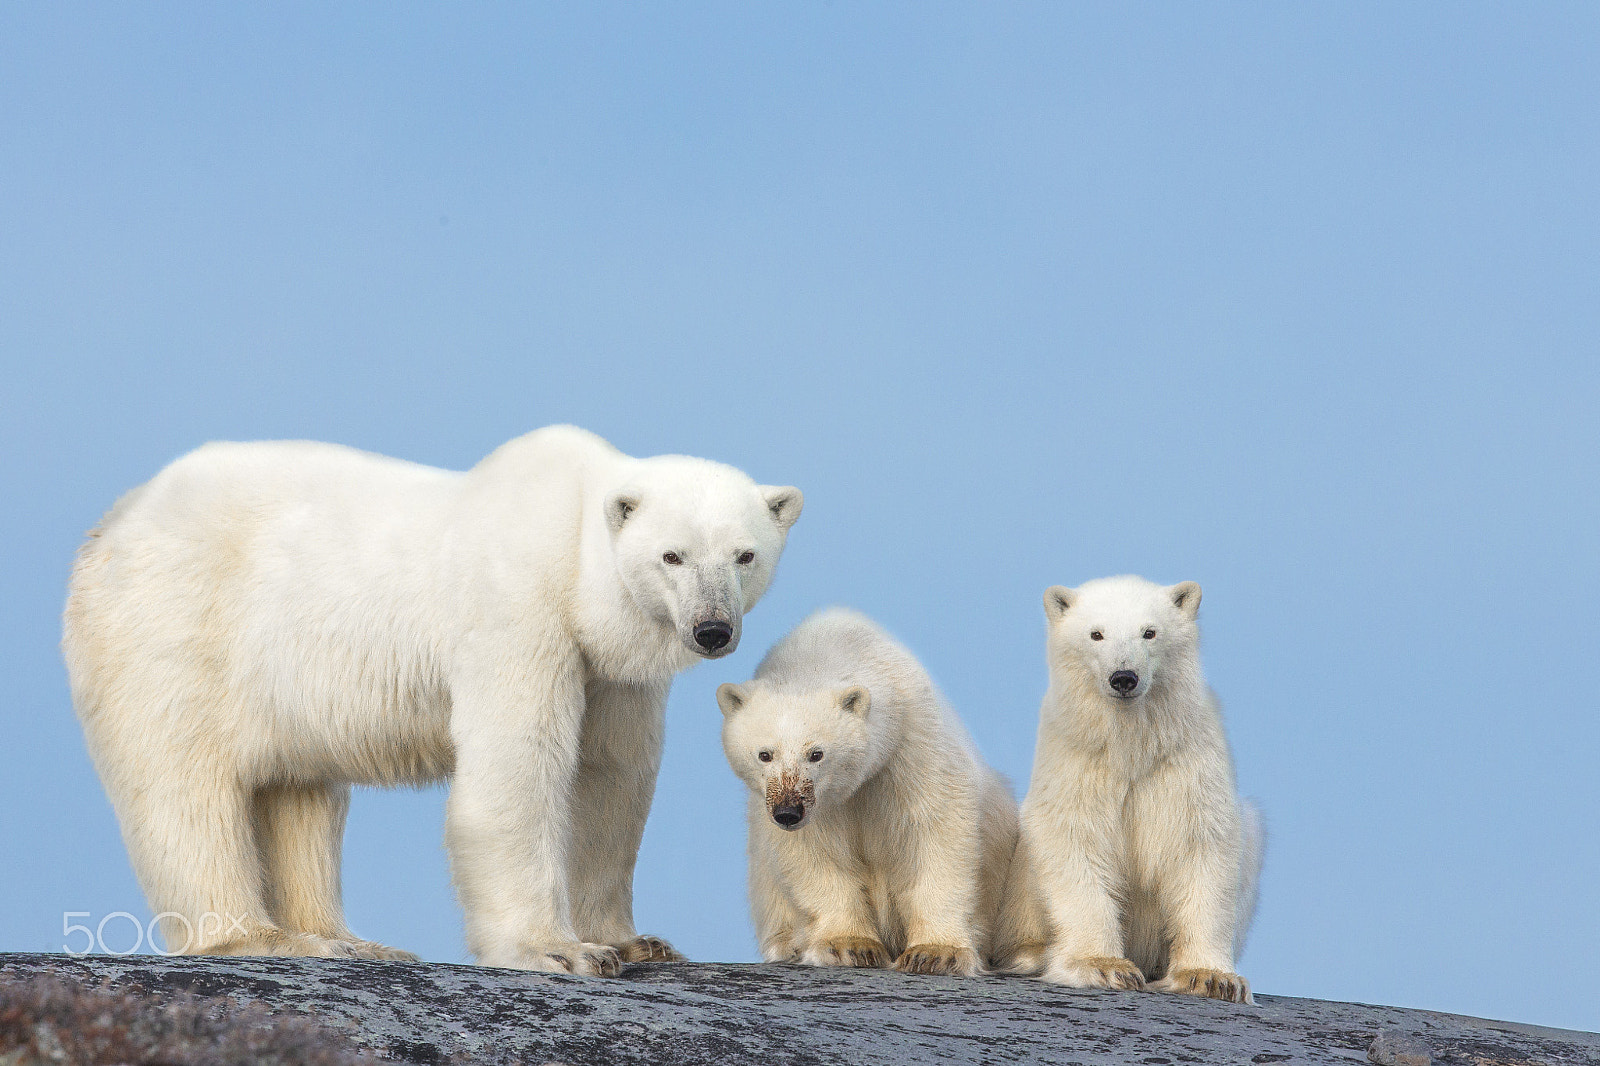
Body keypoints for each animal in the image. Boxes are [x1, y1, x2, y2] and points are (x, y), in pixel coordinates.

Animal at [65, 422, 800, 973]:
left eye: (744, 555)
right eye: (672, 555)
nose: (712, 629)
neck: (569, 543)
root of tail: (113, 522)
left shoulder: (610, 669)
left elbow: (612, 778)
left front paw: (632, 941)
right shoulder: (516, 613)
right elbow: (519, 768)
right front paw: (557, 951)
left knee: (298, 790)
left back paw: (349, 940)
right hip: (177, 630)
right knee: (185, 786)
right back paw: (257, 936)